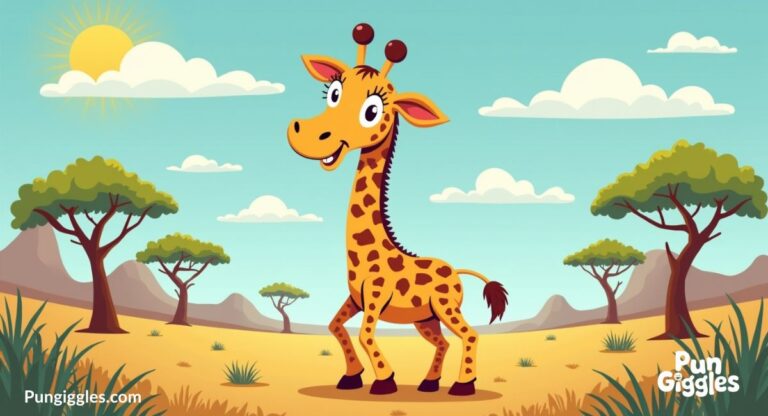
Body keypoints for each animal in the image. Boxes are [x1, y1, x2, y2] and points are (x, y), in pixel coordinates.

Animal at [287, 23, 509, 396]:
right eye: (332, 93)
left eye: (371, 111)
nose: (304, 134)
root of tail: (456, 271)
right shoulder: (355, 300)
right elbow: (334, 327)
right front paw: (351, 376)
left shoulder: (376, 298)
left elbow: (365, 333)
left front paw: (384, 380)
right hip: (425, 318)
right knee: (443, 342)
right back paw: (429, 383)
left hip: (444, 308)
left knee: (470, 335)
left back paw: (462, 385)